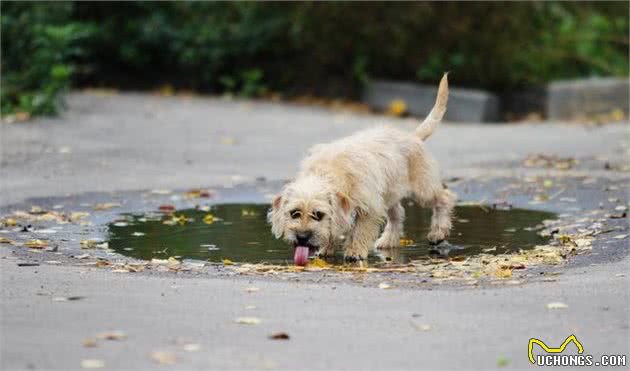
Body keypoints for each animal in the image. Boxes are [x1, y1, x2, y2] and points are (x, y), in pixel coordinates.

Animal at [270, 74, 456, 264]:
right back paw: (388, 240)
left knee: (445, 197)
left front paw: (355, 251)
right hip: (389, 193)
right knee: (398, 213)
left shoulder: (369, 207)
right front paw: (326, 248)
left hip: (422, 189)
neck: (329, 170)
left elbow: (360, 230)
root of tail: (412, 136)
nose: (301, 238)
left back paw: (438, 232)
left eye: (318, 214)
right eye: (294, 213)